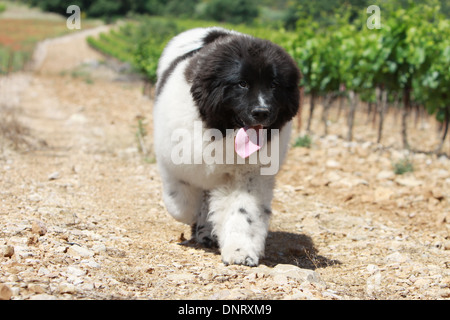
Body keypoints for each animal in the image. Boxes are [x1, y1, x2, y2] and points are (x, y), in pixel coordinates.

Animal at [153, 27, 300, 266]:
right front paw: (194, 218)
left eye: (274, 85)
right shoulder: (174, 164)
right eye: (242, 84)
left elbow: (243, 212)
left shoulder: (248, 175)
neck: (221, 131)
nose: (262, 112)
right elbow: (181, 204)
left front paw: (241, 251)